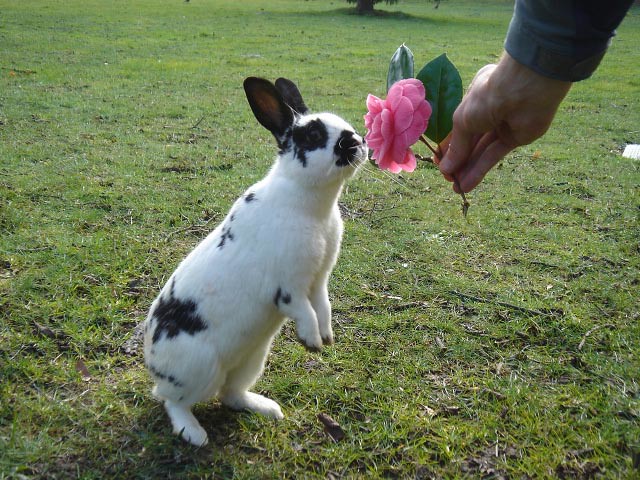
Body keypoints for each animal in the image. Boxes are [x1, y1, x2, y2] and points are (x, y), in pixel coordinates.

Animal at [142, 77, 368, 446]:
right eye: (313, 135)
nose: (357, 142)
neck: (312, 204)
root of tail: (153, 363)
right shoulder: (288, 286)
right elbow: (304, 311)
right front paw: (312, 341)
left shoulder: (318, 280)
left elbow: (323, 307)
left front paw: (327, 337)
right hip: (198, 371)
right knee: (170, 399)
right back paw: (194, 433)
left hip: (252, 359)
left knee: (230, 395)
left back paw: (268, 409)